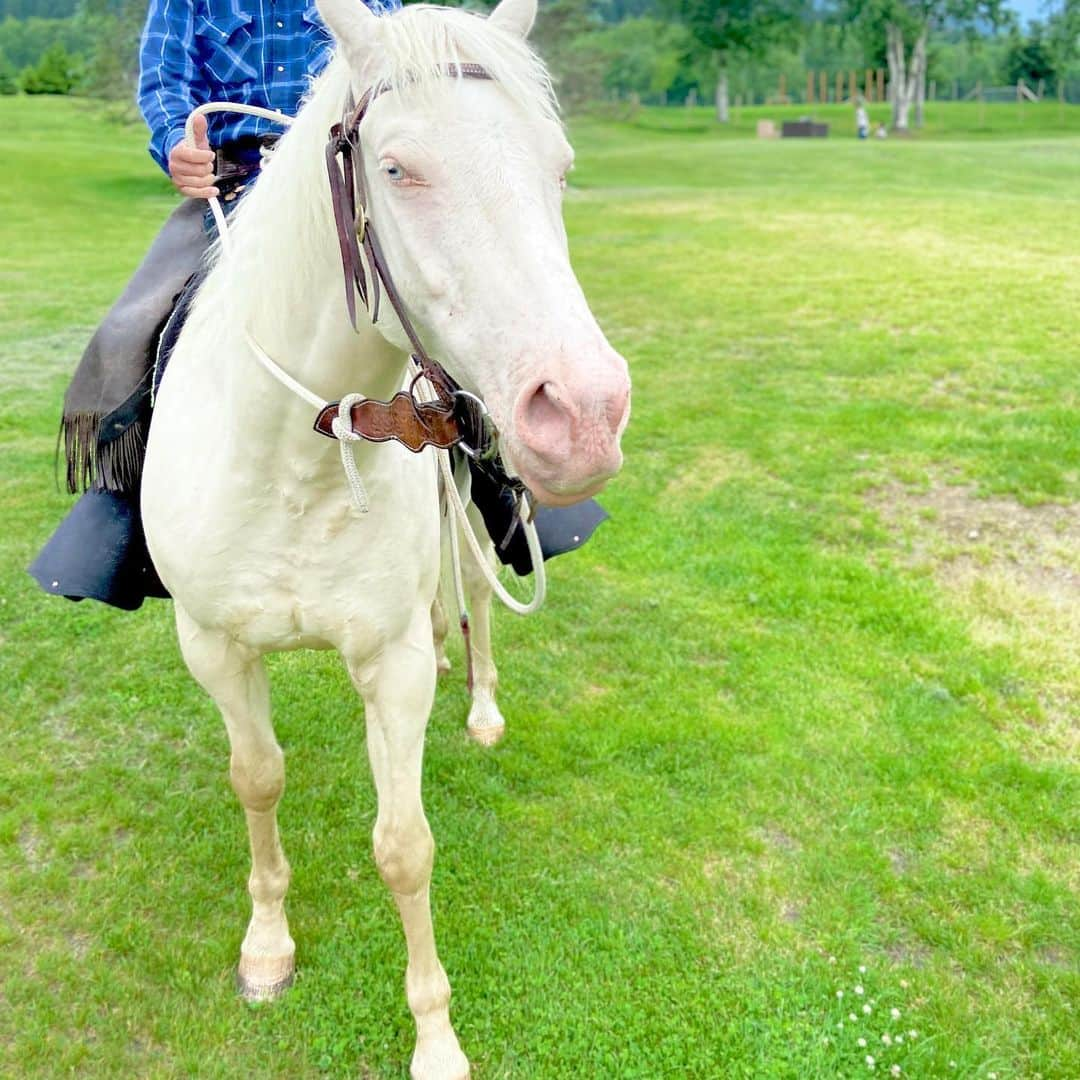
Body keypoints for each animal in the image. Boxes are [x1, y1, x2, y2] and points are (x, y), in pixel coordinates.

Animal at [143, 0, 630, 1075]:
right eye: (399, 169)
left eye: (559, 167)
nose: (585, 413)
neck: (296, 457)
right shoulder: (214, 646)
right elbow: (257, 781)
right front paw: (267, 949)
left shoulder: (389, 662)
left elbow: (404, 847)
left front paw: (436, 1038)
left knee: (475, 595)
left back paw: (480, 701)